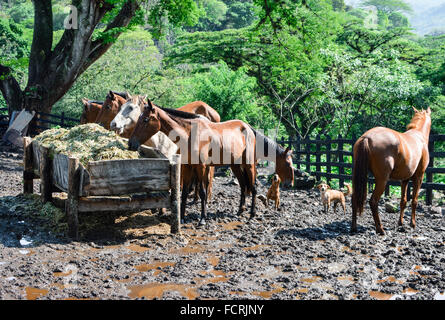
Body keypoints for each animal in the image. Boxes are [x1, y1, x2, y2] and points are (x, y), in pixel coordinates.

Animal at [128, 97, 256, 225]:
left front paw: (202, 218)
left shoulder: (201, 167)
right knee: (243, 185)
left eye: (145, 119)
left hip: (249, 164)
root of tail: (248, 127)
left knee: (253, 187)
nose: (131, 144)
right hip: (235, 165)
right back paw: (240, 210)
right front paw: (182, 218)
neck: (190, 134)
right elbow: (184, 193)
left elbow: (202, 192)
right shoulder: (187, 166)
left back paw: (252, 214)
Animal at [350, 107, 430, 235]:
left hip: (358, 177)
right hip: (382, 180)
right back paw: (380, 229)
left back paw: (354, 227)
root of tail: (367, 137)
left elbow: (403, 201)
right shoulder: (419, 177)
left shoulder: (404, 179)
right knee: (373, 201)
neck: (418, 135)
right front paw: (412, 224)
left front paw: (400, 223)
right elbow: (414, 201)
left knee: (354, 199)